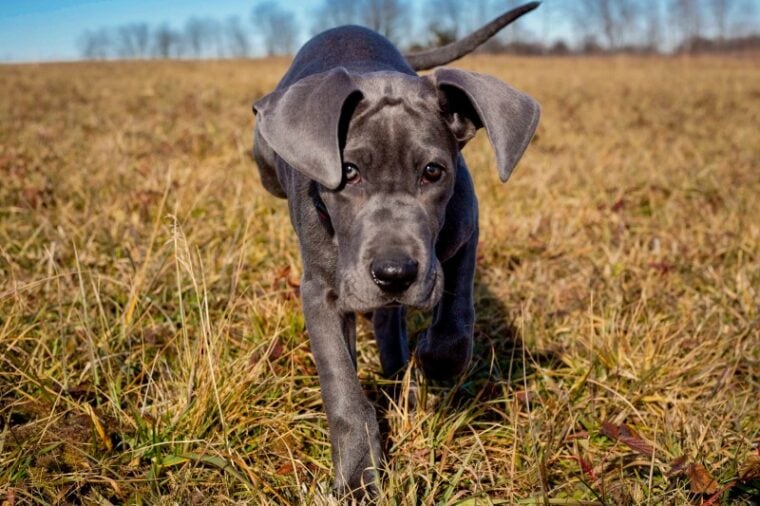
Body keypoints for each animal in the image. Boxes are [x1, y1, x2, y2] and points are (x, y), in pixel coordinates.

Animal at [252, 0, 536, 498]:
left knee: (394, 317)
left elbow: (456, 318)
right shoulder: (320, 293)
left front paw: (434, 360)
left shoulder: (464, 233)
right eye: (348, 171)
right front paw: (356, 476)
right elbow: (342, 387)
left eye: (433, 171)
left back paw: (398, 358)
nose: (394, 273)